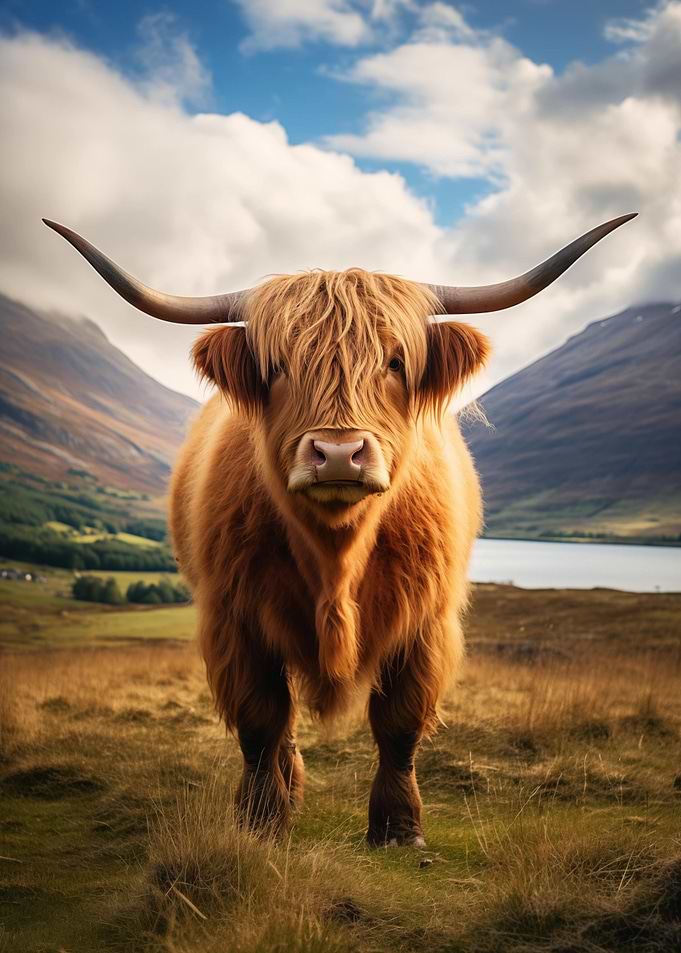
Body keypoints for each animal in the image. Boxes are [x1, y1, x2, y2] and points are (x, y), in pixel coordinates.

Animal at [44, 213, 635, 846]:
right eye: (278, 367)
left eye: (396, 362)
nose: (337, 454)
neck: (336, 556)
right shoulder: (235, 618)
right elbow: (260, 722)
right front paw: (261, 822)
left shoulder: (425, 622)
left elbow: (399, 725)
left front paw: (399, 828)